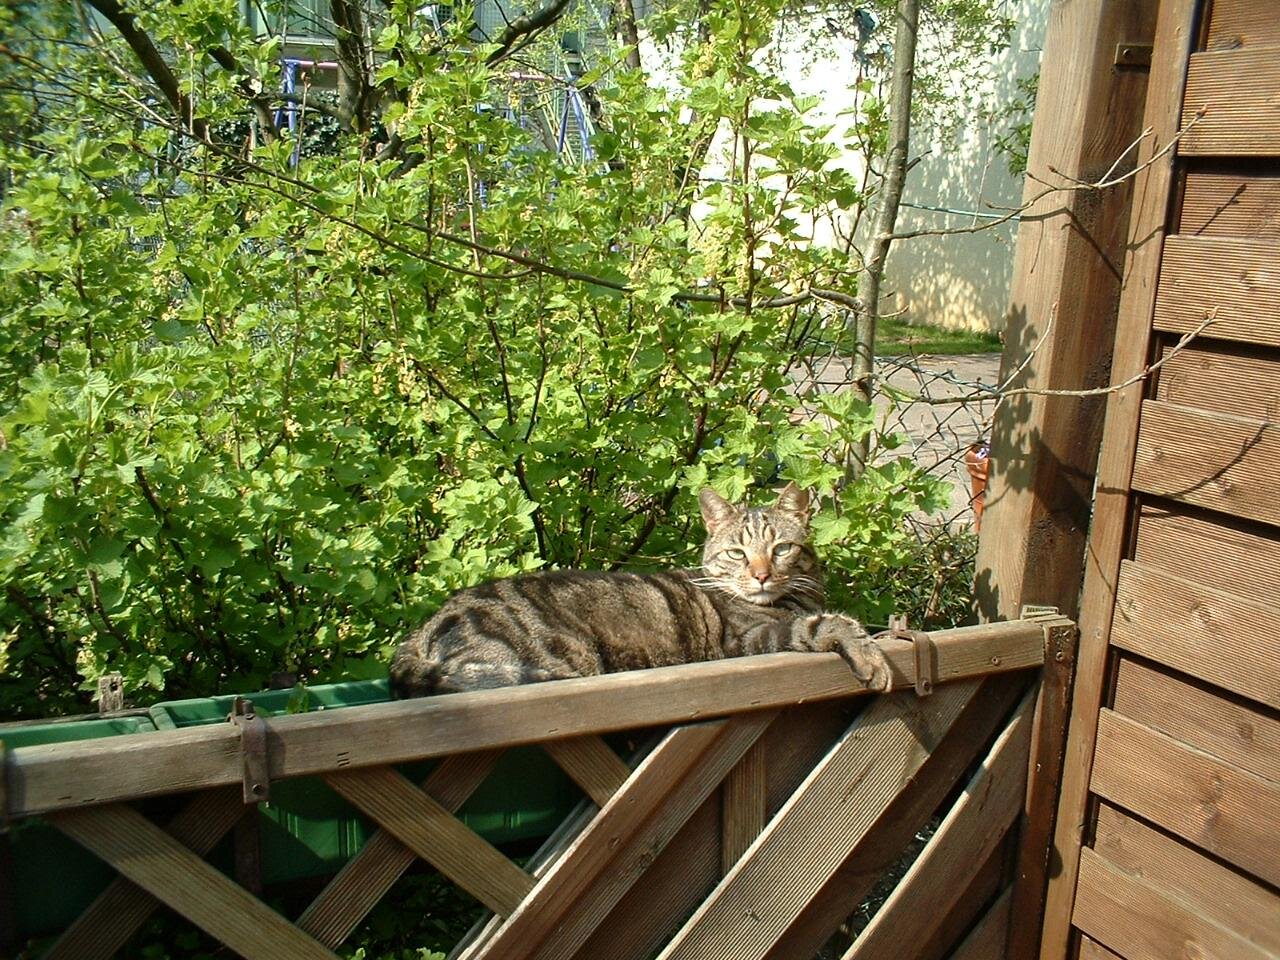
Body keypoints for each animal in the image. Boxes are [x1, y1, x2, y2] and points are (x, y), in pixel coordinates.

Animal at [388, 483, 891, 697]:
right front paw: (870, 655)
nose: (762, 574)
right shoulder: (751, 640)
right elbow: (826, 624)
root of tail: (419, 631)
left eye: (781, 548)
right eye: (737, 553)